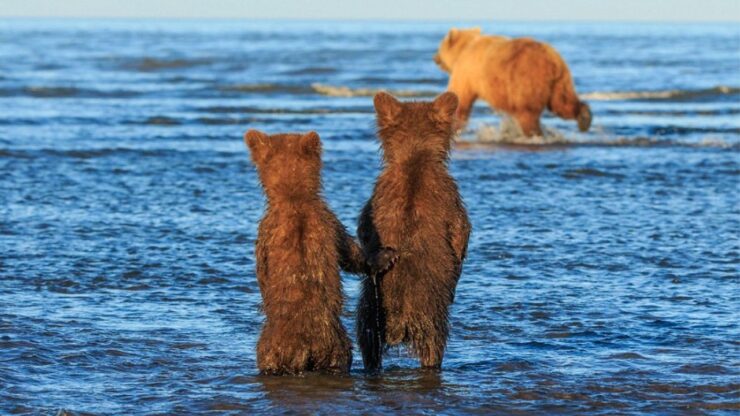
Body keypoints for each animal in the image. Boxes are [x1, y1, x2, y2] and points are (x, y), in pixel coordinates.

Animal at [244, 129, 396, 374]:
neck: (294, 198)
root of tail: (304, 348)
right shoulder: (322, 223)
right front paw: (385, 256)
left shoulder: (271, 230)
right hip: (328, 349)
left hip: (279, 345)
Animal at [356, 92, 472, 370]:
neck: (415, 156)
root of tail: (399, 323)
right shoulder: (449, 196)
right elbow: (461, 232)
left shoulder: (377, 196)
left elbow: (364, 229)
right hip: (430, 317)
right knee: (434, 347)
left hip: (370, 314)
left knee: (367, 345)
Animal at [430, 28, 592, 138]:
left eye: (440, 47)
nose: (434, 57)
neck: (463, 50)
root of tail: (552, 61)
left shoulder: (466, 72)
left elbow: (461, 97)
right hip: (560, 82)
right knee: (562, 103)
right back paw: (584, 118)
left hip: (526, 78)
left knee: (528, 111)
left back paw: (533, 133)